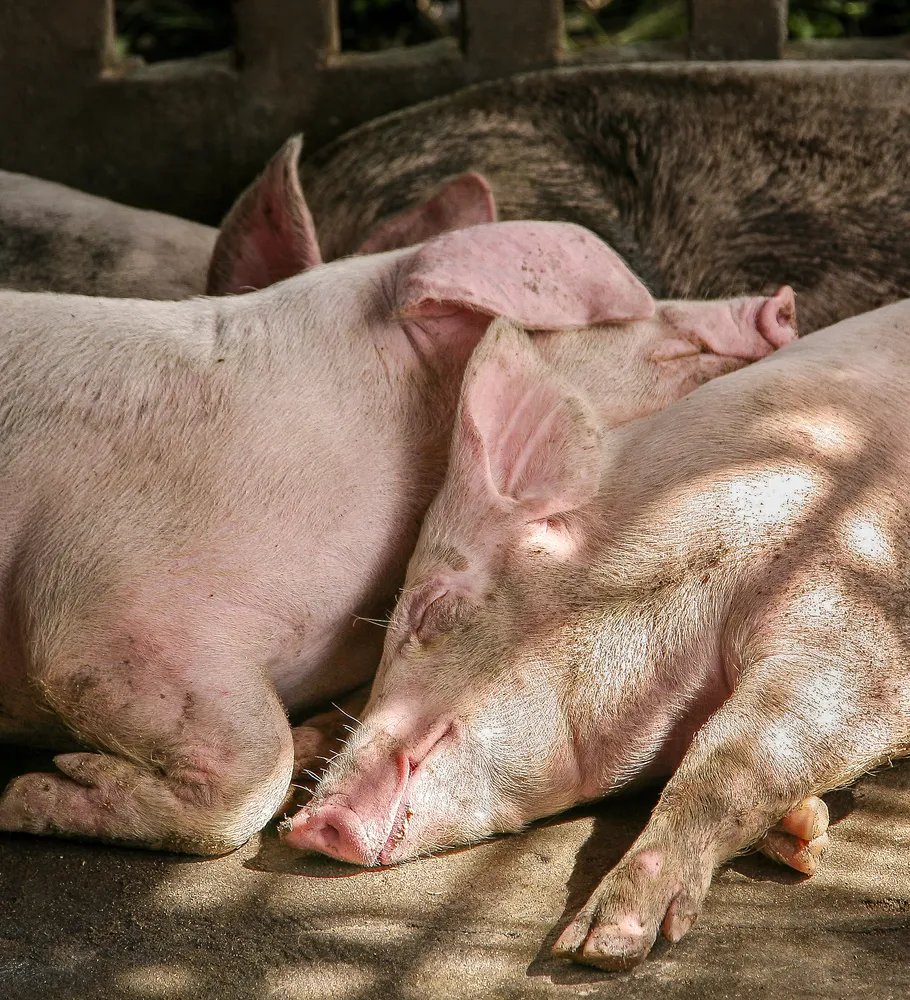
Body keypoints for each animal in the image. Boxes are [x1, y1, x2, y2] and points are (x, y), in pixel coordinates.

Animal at [285, 298, 910, 968]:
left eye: (428, 611)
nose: (307, 824)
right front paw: (803, 830)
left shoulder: (847, 603)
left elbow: (733, 755)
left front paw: (597, 945)